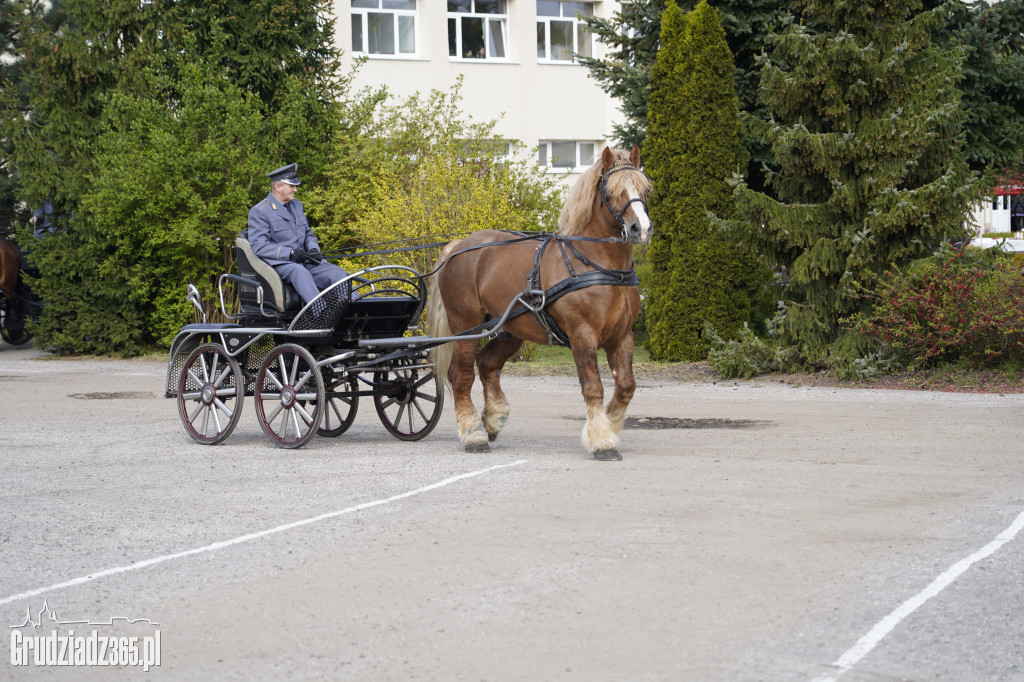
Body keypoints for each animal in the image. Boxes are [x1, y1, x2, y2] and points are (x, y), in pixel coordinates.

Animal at [425, 145, 651, 458]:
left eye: (645, 188)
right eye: (613, 191)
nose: (641, 228)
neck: (598, 264)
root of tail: (460, 245)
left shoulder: (622, 335)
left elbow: (626, 386)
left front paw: (611, 425)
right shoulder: (582, 335)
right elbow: (593, 387)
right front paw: (601, 440)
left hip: (509, 329)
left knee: (487, 364)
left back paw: (493, 420)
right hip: (465, 325)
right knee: (460, 375)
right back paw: (473, 434)